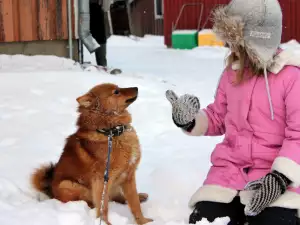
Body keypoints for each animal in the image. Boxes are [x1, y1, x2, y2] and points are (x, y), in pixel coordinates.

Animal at [31, 83, 152, 225]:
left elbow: (134, 203)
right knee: (94, 202)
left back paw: (141, 196)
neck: (111, 132)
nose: (136, 88)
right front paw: (105, 223)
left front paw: (144, 221)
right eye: (116, 92)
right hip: (69, 185)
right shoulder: (102, 180)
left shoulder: (128, 176)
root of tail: (50, 190)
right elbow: (103, 207)